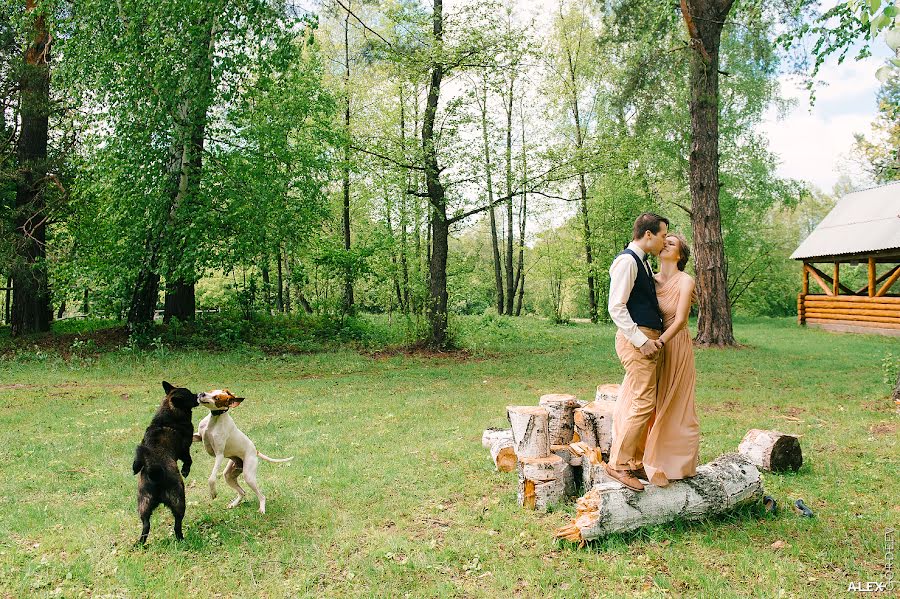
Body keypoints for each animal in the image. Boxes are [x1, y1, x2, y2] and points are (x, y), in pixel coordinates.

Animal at [132, 382, 199, 548]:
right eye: (191, 395)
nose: (199, 395)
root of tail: (154, 472)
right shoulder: (184, 449)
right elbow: (189, 460)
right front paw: (185, 470)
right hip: (179, 500)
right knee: (177, 524)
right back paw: (181, 538)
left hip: (143, 504)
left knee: (146, 525)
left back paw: (141, 543)